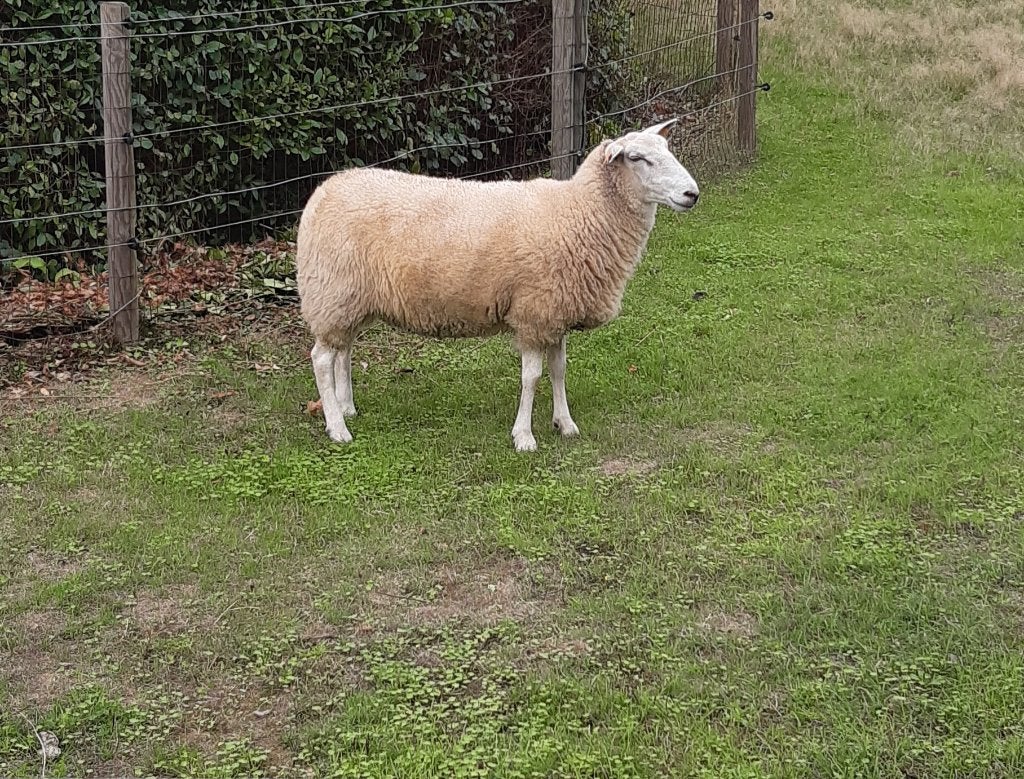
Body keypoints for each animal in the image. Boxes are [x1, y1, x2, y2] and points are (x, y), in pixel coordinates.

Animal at [296, 117, 699, 451]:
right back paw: (337, 426)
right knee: (321, 359)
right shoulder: (534, 312)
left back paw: (345, 406)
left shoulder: (555, 312)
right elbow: (531, 377)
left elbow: (559, 369)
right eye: (636, 158)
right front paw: (524, 436)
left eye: (666, 151)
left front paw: (565, 423)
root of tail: (324, 190)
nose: (692, 194)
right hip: (332, 289)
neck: (579, 212)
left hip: (349, 297)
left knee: (344, 351)